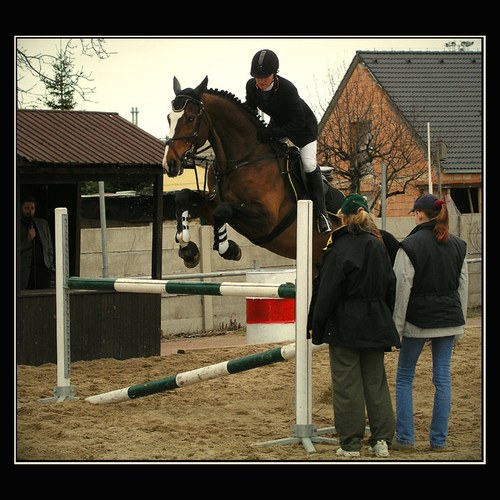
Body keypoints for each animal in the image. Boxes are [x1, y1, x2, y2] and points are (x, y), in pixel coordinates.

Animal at [162, 76, 346, 276]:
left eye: (190, 118)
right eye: (169, 118)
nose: (169, 164)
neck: (241, 160)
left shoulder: (266, 219)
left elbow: (224, 210)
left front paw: (230, 248)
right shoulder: (211, 207)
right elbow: (184, 196)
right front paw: (188, 250)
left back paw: (324, 223)